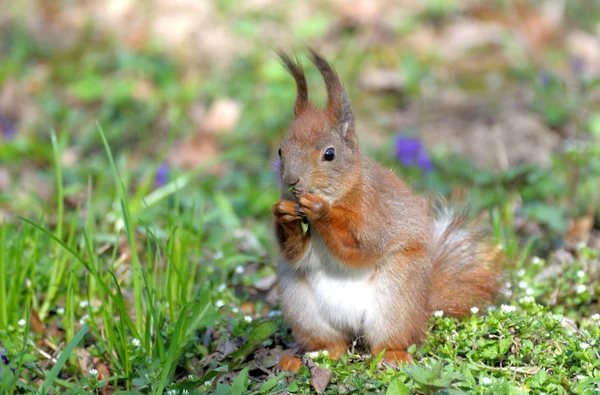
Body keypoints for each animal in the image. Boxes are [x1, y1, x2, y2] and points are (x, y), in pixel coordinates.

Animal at [272, 50, 502, 368]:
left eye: (329, 154)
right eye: (280, 150)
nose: (291, 181)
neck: (344, 193)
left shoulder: (375, 212)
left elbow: (360, 247)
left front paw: (320, 210)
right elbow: (295, 253)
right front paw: (283, 212)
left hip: (397, 297)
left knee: (389, 340)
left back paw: (393, 356)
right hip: (301, 305)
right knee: (333, 342)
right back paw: (314, 356)